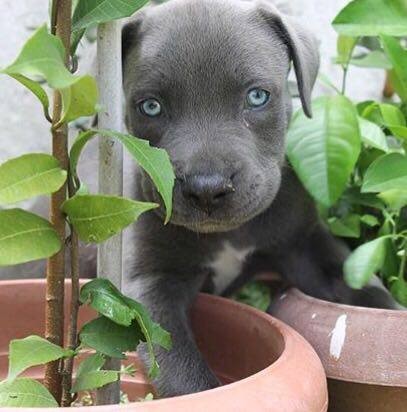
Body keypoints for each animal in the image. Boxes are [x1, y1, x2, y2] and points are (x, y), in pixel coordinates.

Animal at [121, 0, 396, 400]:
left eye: (256, 96)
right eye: (151, 107)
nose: (208, 187)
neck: (230, 234)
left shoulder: (305, 247)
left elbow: (369, 295)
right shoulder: (150, 283)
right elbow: (184, 372)